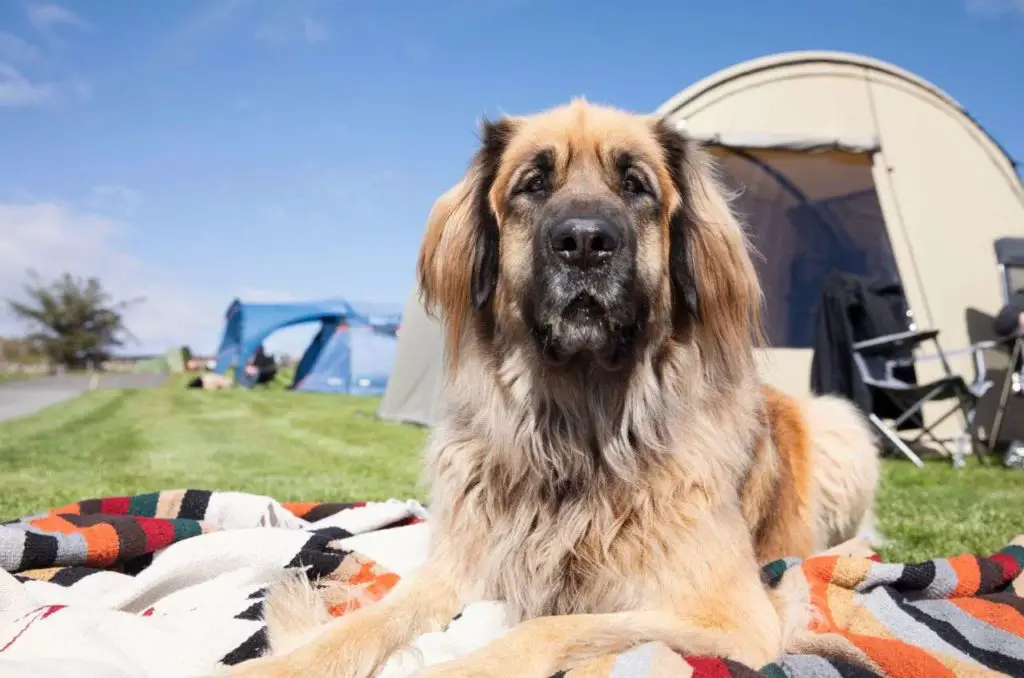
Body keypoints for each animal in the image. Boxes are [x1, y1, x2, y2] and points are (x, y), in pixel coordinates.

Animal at [228, 100, 876, 678]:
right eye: (533, 184)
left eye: (635, 186)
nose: (585, 242)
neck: (577, 428)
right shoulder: (458, 565)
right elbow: (368, 621)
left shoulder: (730, 618)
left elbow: (546, 626)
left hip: (841, 425)